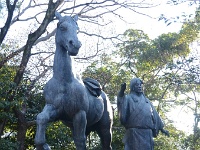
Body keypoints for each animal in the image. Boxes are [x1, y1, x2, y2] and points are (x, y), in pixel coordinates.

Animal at [34, 12, 112, 149]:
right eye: (62, 27)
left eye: (77, 29)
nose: (75, 45)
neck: (64, 81)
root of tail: (104, 95)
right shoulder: (55, 109)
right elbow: (41, 118)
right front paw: (43, 144)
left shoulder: (79, 114)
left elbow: (80, 141)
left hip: (105, 128)